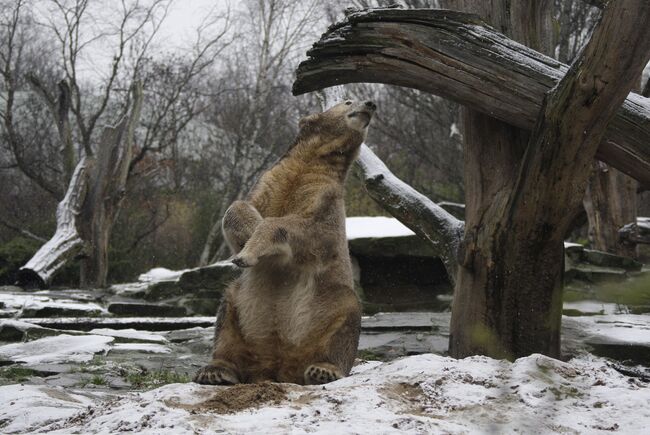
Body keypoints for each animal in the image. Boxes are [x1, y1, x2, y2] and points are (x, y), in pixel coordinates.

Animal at [192, 99, 374, 384]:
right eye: (347, 101)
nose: (370, 104)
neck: (314, 160)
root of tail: (278, 366)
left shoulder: (325, 198)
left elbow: (307, 230)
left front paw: (250, 250)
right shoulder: (272, 179)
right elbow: (239, 208)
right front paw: (246, 242)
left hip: (330, 302)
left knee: (346, 319)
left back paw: (323, 369)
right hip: (241, 307)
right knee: (226, 316)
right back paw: (216, 370)